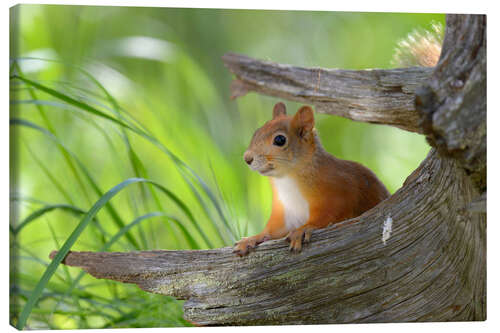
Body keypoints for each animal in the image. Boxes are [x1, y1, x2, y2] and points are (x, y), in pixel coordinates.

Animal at [234, 104, 390, 254]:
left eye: (280, 140)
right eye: (256, 132)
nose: (247, 158)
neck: (286, 180)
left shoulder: (339, 191)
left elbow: (330, 215)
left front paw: (303, 229)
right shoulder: (285, 212)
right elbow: (274, 230)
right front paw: (252, 238)